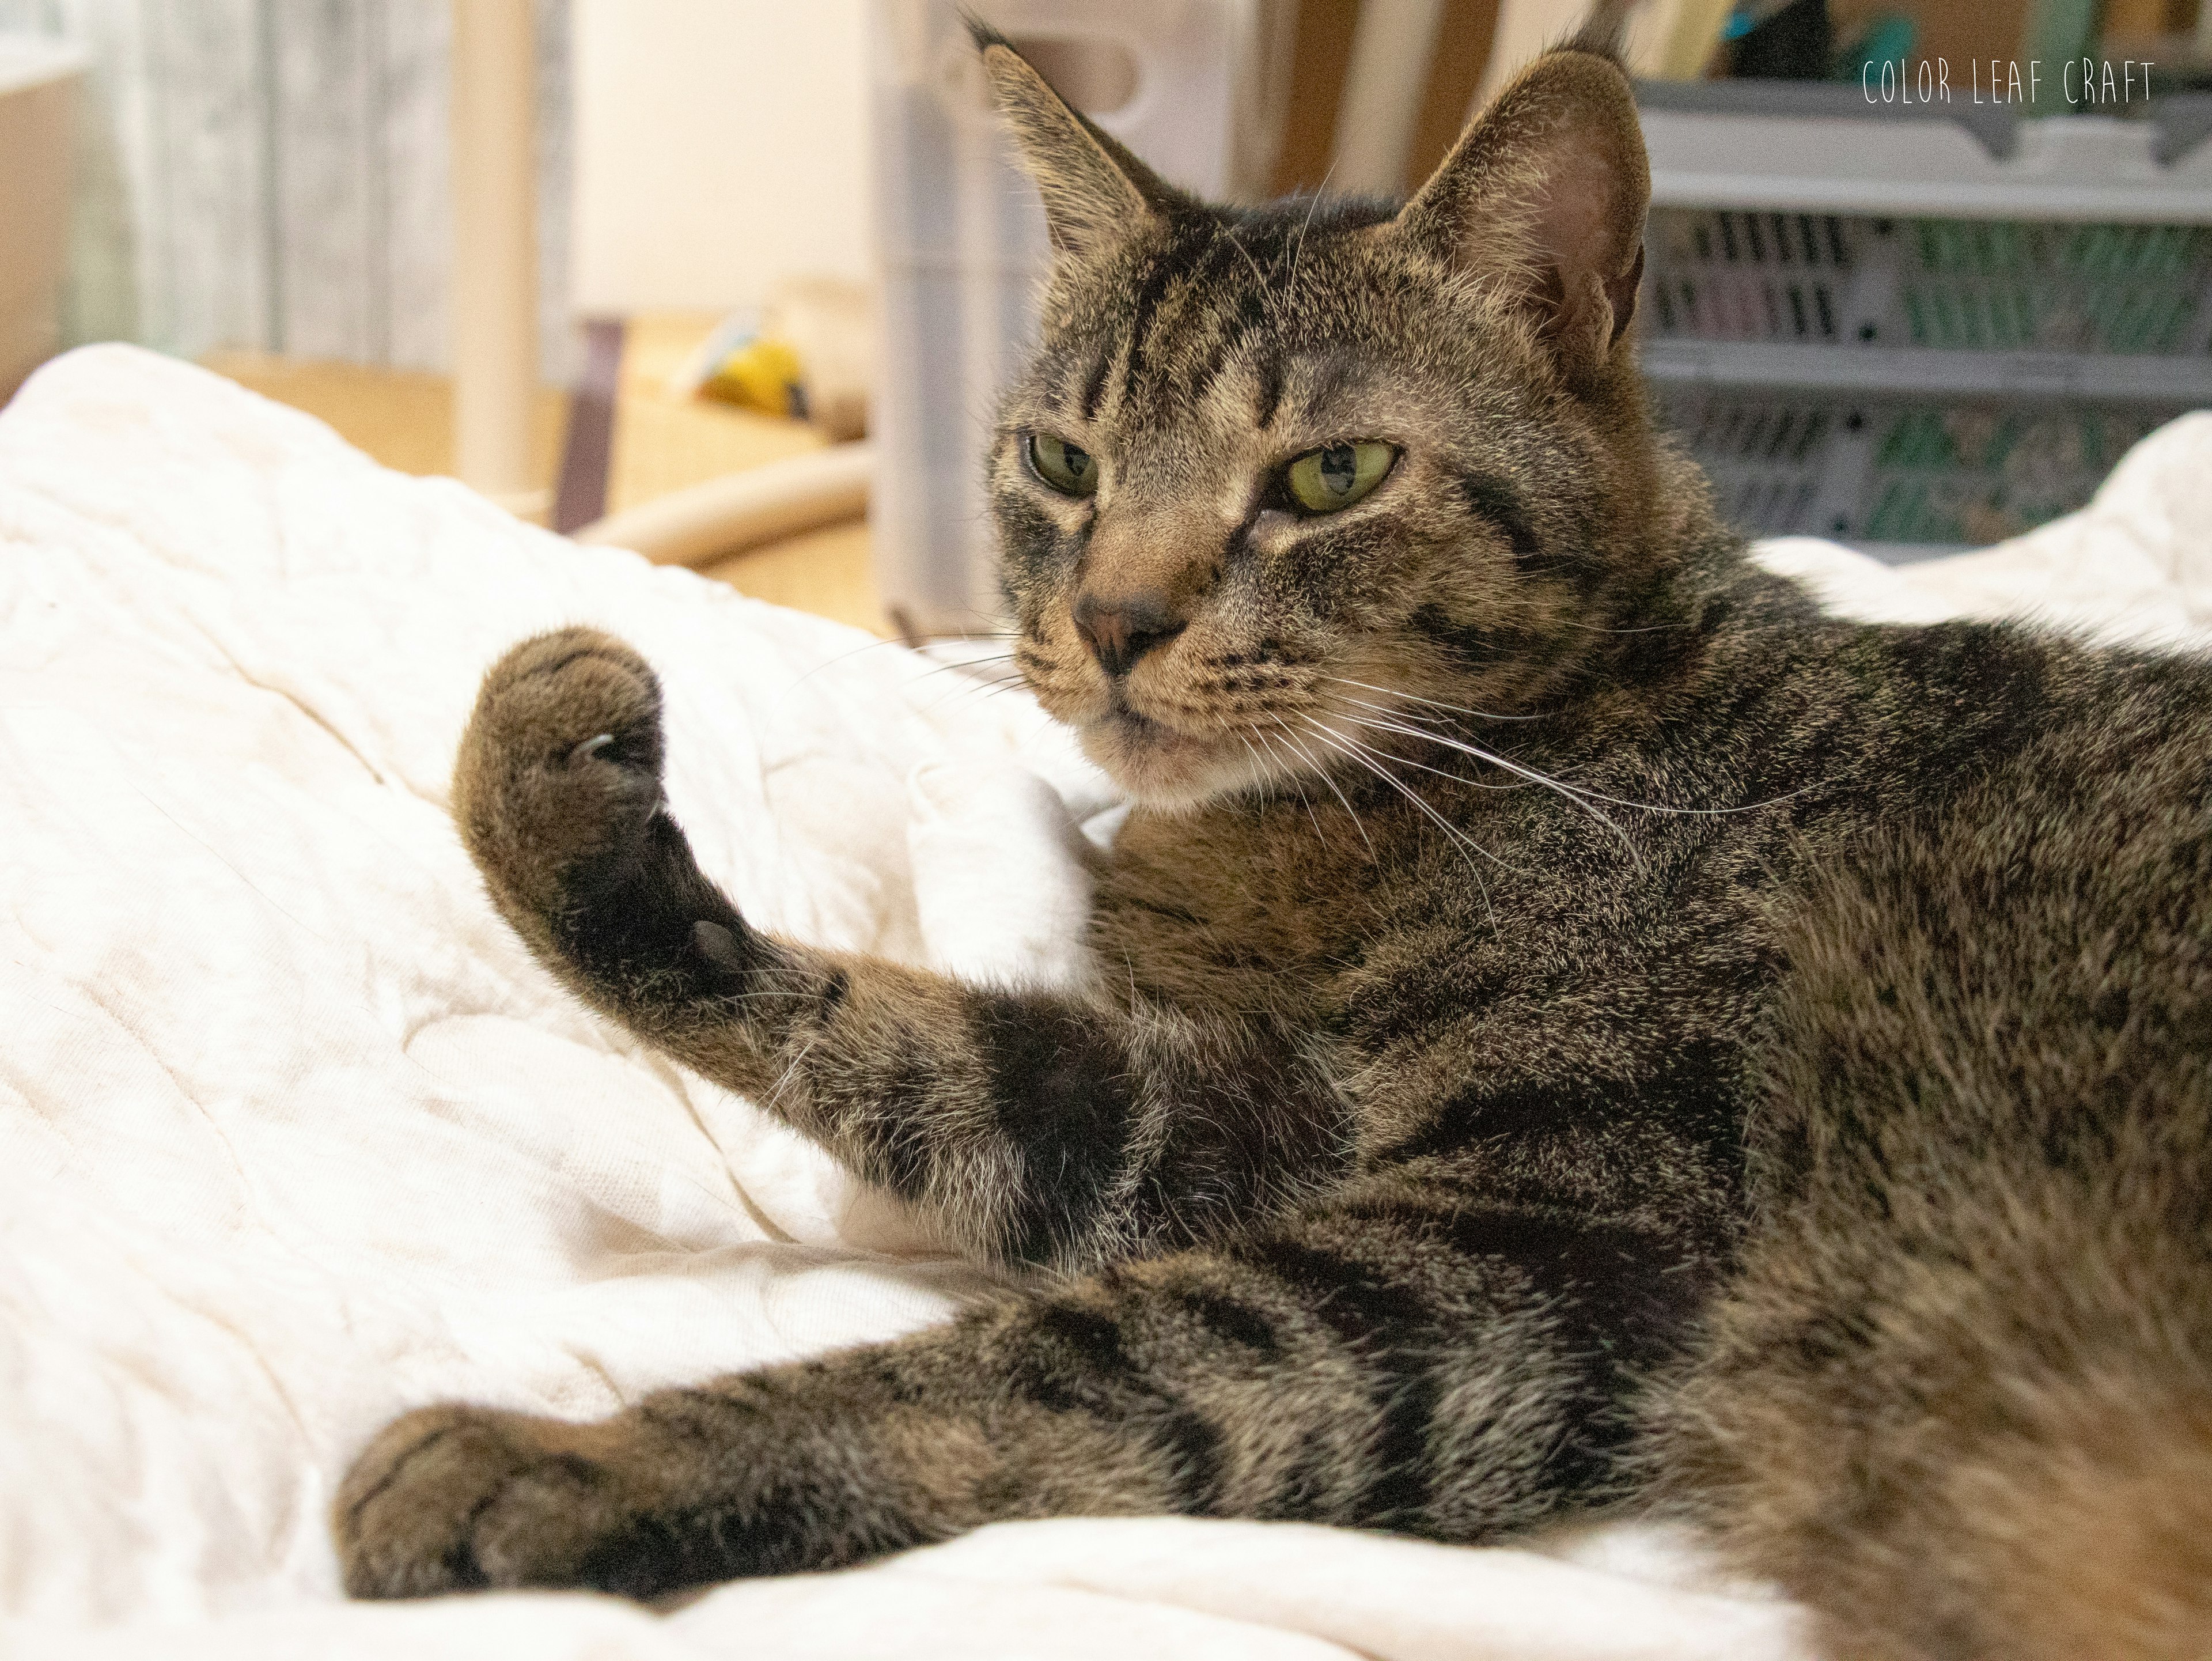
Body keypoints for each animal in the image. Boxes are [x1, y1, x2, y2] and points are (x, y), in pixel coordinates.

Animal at [332, 29, 2212, 1661]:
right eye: (1060, 460)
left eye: (1328, 475)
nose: (1109, 621)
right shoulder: (1254, 1129)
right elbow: (919, 1047)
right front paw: (550, 811)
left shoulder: (1550, 1227)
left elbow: (1036, 1368)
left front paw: (574, 1459)